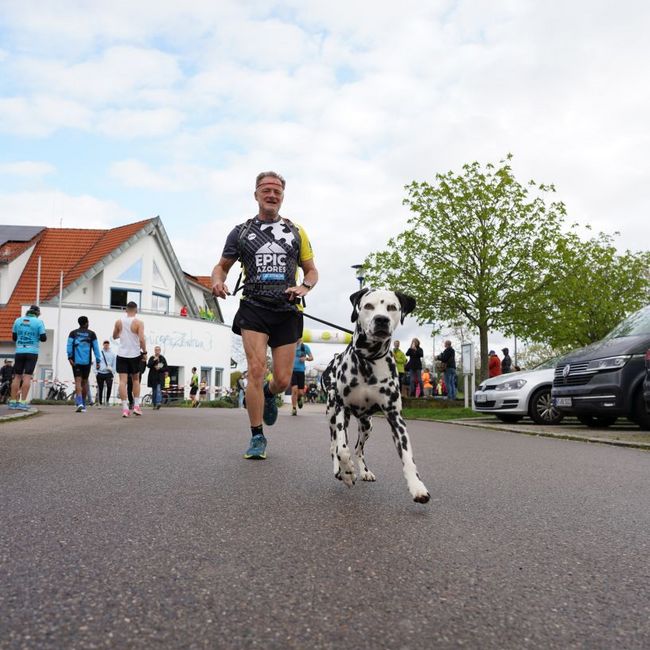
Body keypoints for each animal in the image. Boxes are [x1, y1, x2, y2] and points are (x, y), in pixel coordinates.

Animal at [320, 286, 430, 504]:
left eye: (392, 308)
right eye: (369, 306)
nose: (381, 319)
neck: (368, 360)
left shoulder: (396, 418)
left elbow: (407, 456)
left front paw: (417, 487)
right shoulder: (340, 409)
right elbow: (342, 449)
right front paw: (347, 473)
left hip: (367, 425)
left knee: (358, 449)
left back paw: (364, 471)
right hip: (332, 416)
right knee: (334, 446)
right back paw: (340, 470)